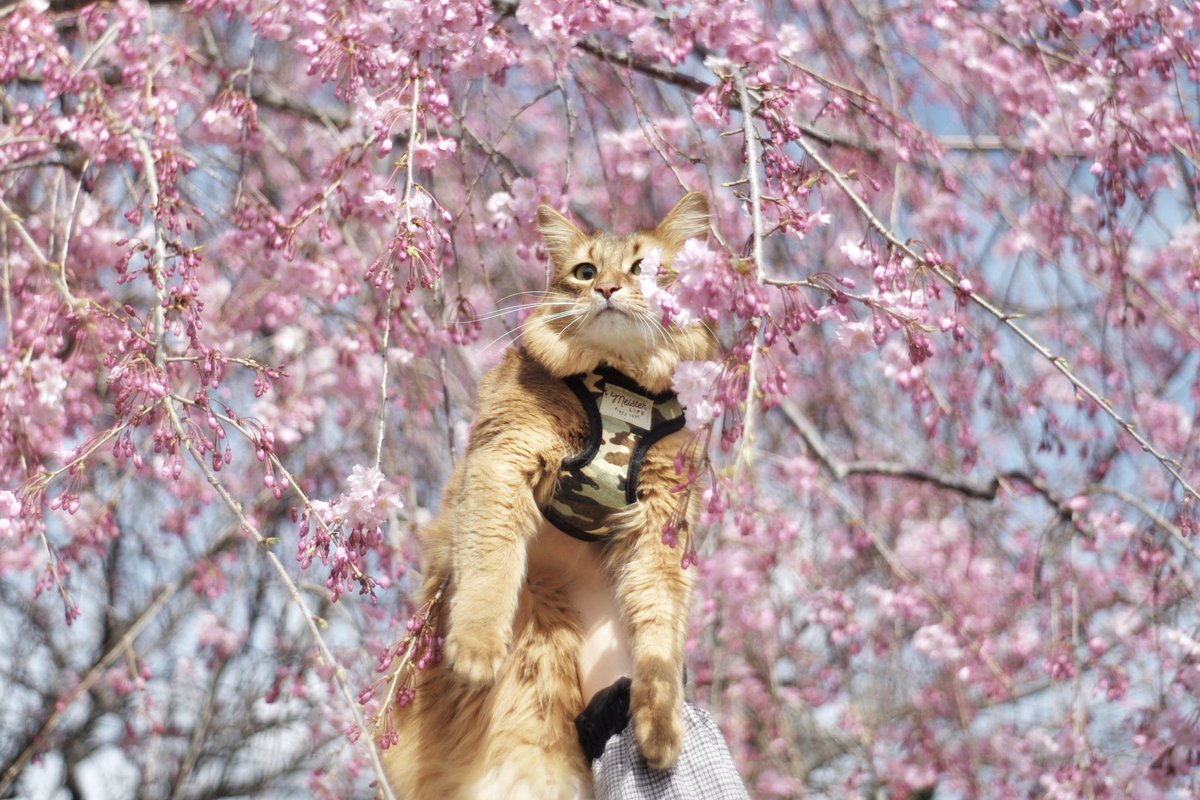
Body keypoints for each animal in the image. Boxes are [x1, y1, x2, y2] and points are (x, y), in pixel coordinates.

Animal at [384, 194, 715, 800]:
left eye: (642, 269)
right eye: (584, 271)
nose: (605, 288)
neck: (618, 383)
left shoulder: (662, 527)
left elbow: (660, 640)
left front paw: (659, 730)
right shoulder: (503, 456)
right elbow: (490, 565)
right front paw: (476, 649)